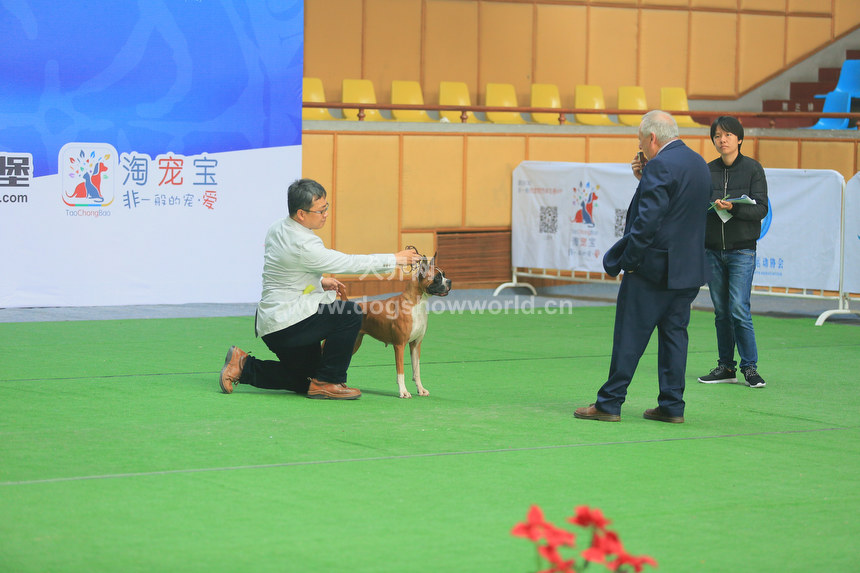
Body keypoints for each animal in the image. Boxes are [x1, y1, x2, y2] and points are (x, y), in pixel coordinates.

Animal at [353, 251, 452, 398]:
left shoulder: (416, 345)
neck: (416, 303)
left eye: (444, 274)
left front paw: (420, 389)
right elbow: (401, 371)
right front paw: (403, 391)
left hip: (355, 343)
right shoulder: (399, 346)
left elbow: (417, 370)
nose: (450, 281)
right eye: (437, 277)